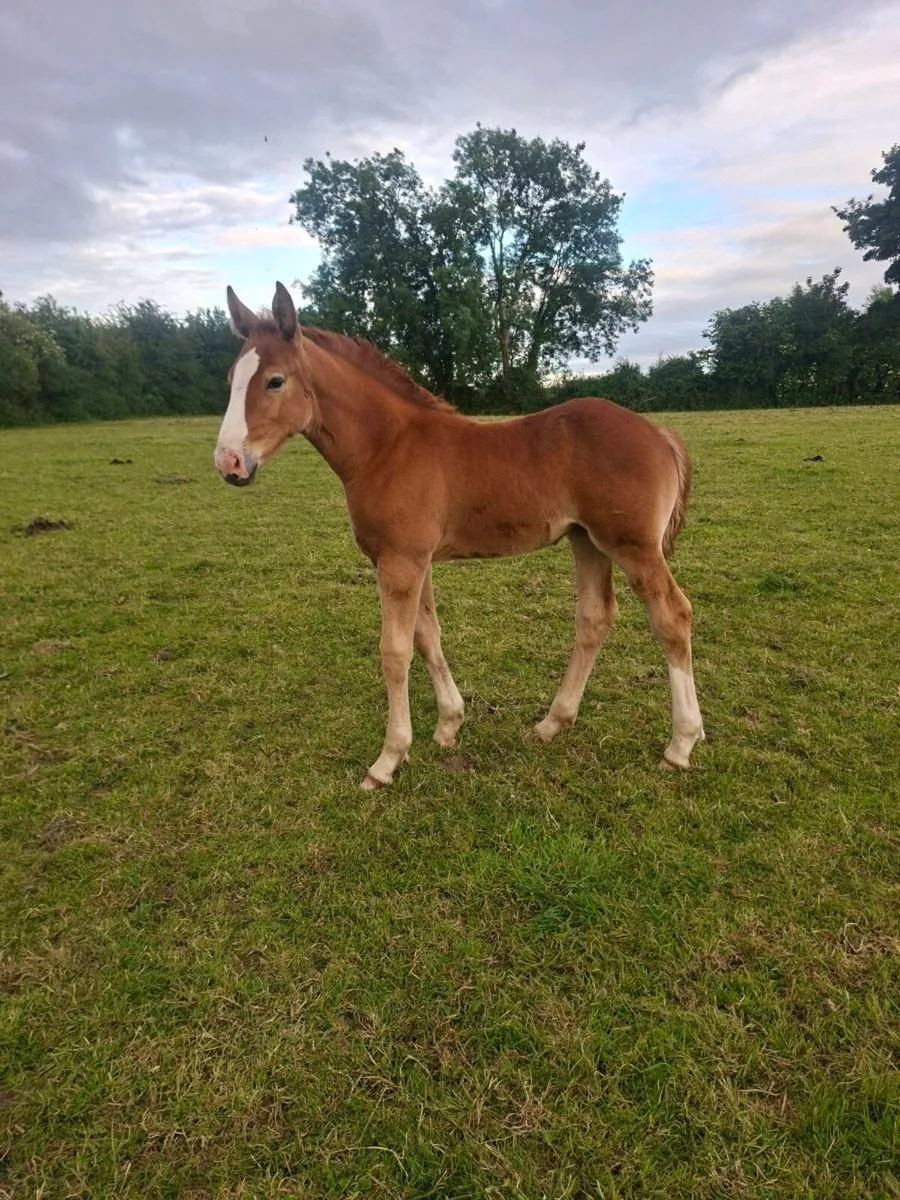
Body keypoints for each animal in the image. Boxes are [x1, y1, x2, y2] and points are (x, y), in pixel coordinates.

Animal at [214, 283, 705, 789]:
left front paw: (387, 760)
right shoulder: (412, 560)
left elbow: (394, 651)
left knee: (673, 617)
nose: (229, 463)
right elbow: (427, 636)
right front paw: (449, 724)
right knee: (594, 617)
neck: (387, 447)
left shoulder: (402, 560)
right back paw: (551, 723)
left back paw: (680, 744)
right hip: (586, 541)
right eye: (232, 378)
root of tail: (659, 433)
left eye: (275, 381)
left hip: (634, 547)